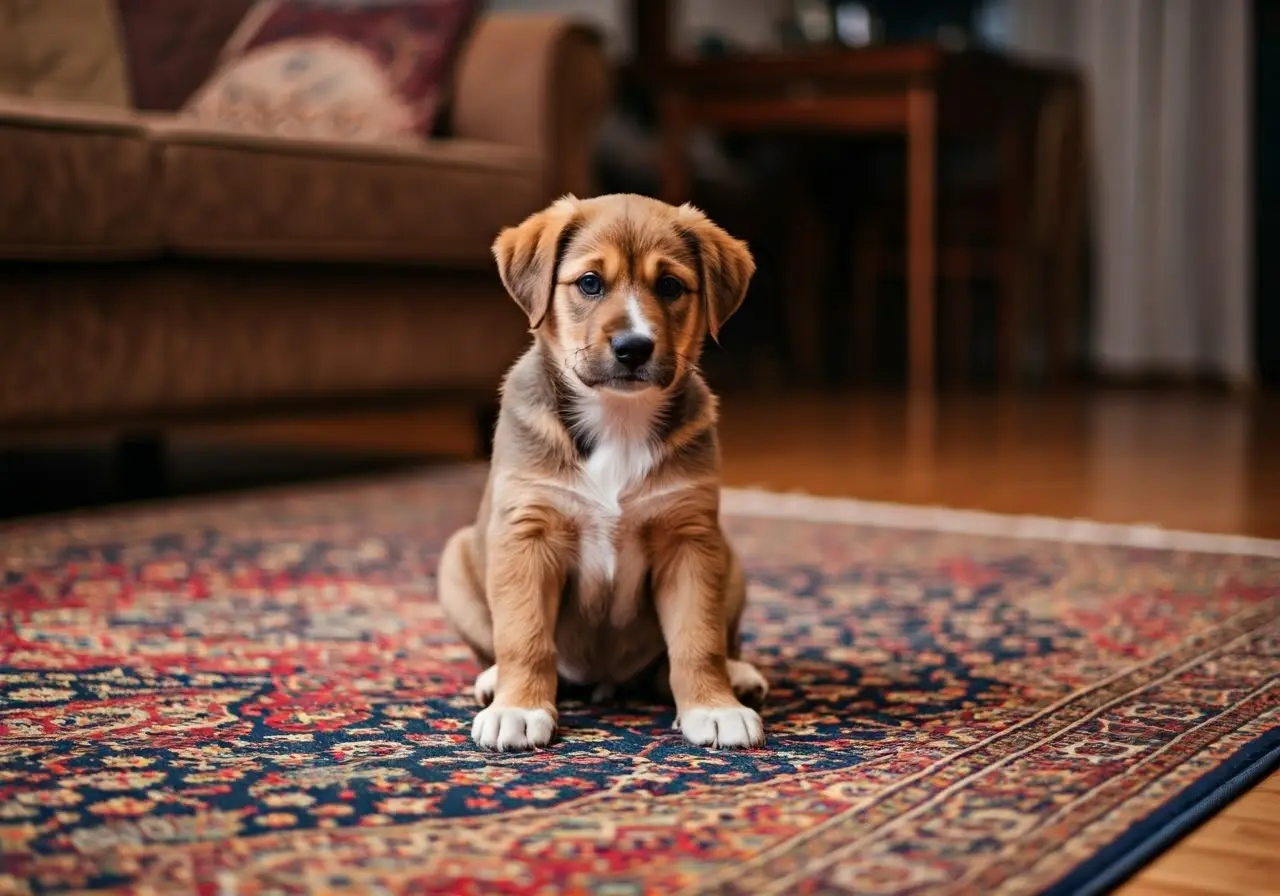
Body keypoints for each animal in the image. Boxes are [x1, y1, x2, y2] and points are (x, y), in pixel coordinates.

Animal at [435, 194, 762, 747]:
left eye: (669, 285)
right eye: (590, 282)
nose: (634, 347)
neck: (618, 418)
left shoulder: (690, 539)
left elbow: (699, 639)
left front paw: (713, 707)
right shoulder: (527, 534)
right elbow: (524, 636)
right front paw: (519, 707)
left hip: (730, 558)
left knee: (711, 645)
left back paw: (738, 675)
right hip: (455, 562)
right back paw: (493, 680)